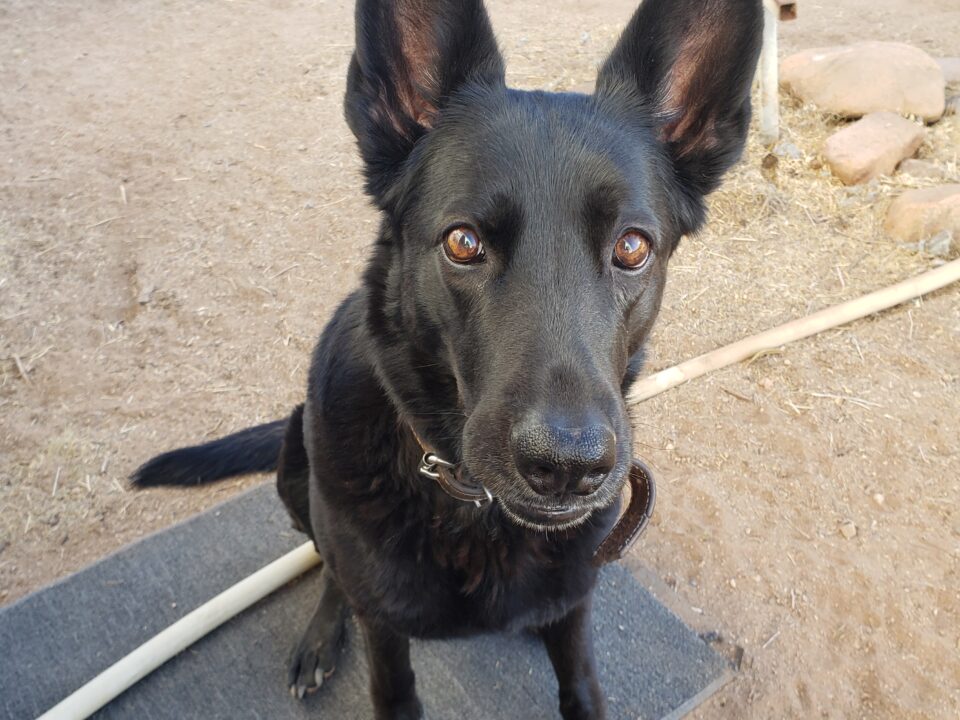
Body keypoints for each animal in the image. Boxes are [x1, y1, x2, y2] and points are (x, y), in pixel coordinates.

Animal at [135, 1, 760, 716]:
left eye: (631, 248)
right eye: (463, 243)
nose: (567, 467)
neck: (473, 506)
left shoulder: (576, 605)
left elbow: (579, 680)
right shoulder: (384, 628)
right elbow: (391, 676)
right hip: (298, 463)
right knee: (330, 566)